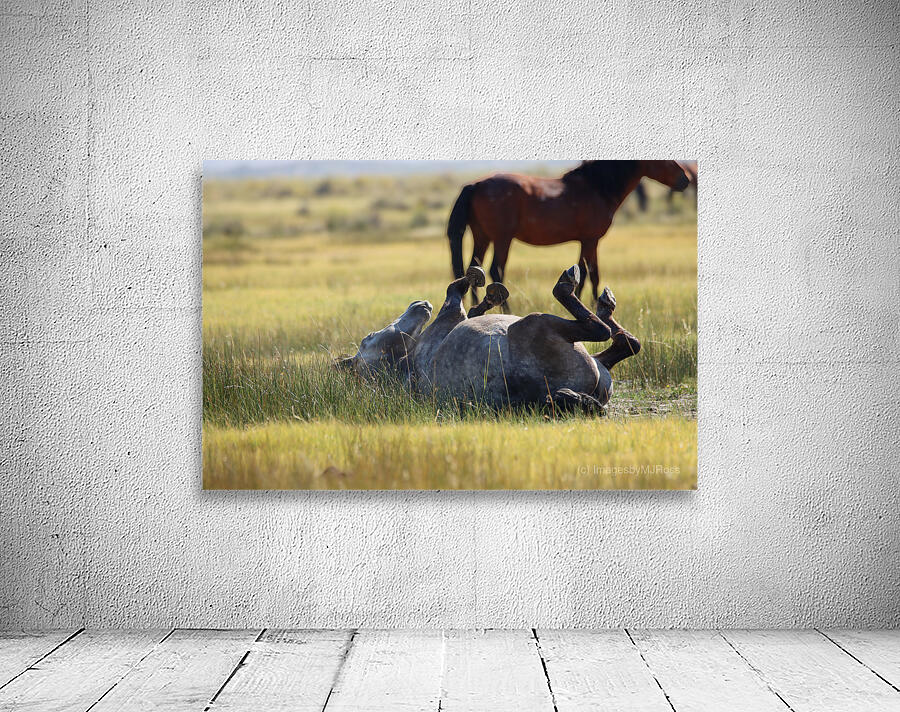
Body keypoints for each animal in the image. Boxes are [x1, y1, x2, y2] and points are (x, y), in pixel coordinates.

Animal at [446, 160, 690, 305]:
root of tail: (476, 185)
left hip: (482, 237)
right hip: (502, 239)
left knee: (474, 270)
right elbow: (593, 274)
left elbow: (581, 276)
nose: (685, 180)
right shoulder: (591, 240)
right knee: (496, 272)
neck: (596, 187)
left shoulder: (585, 242)